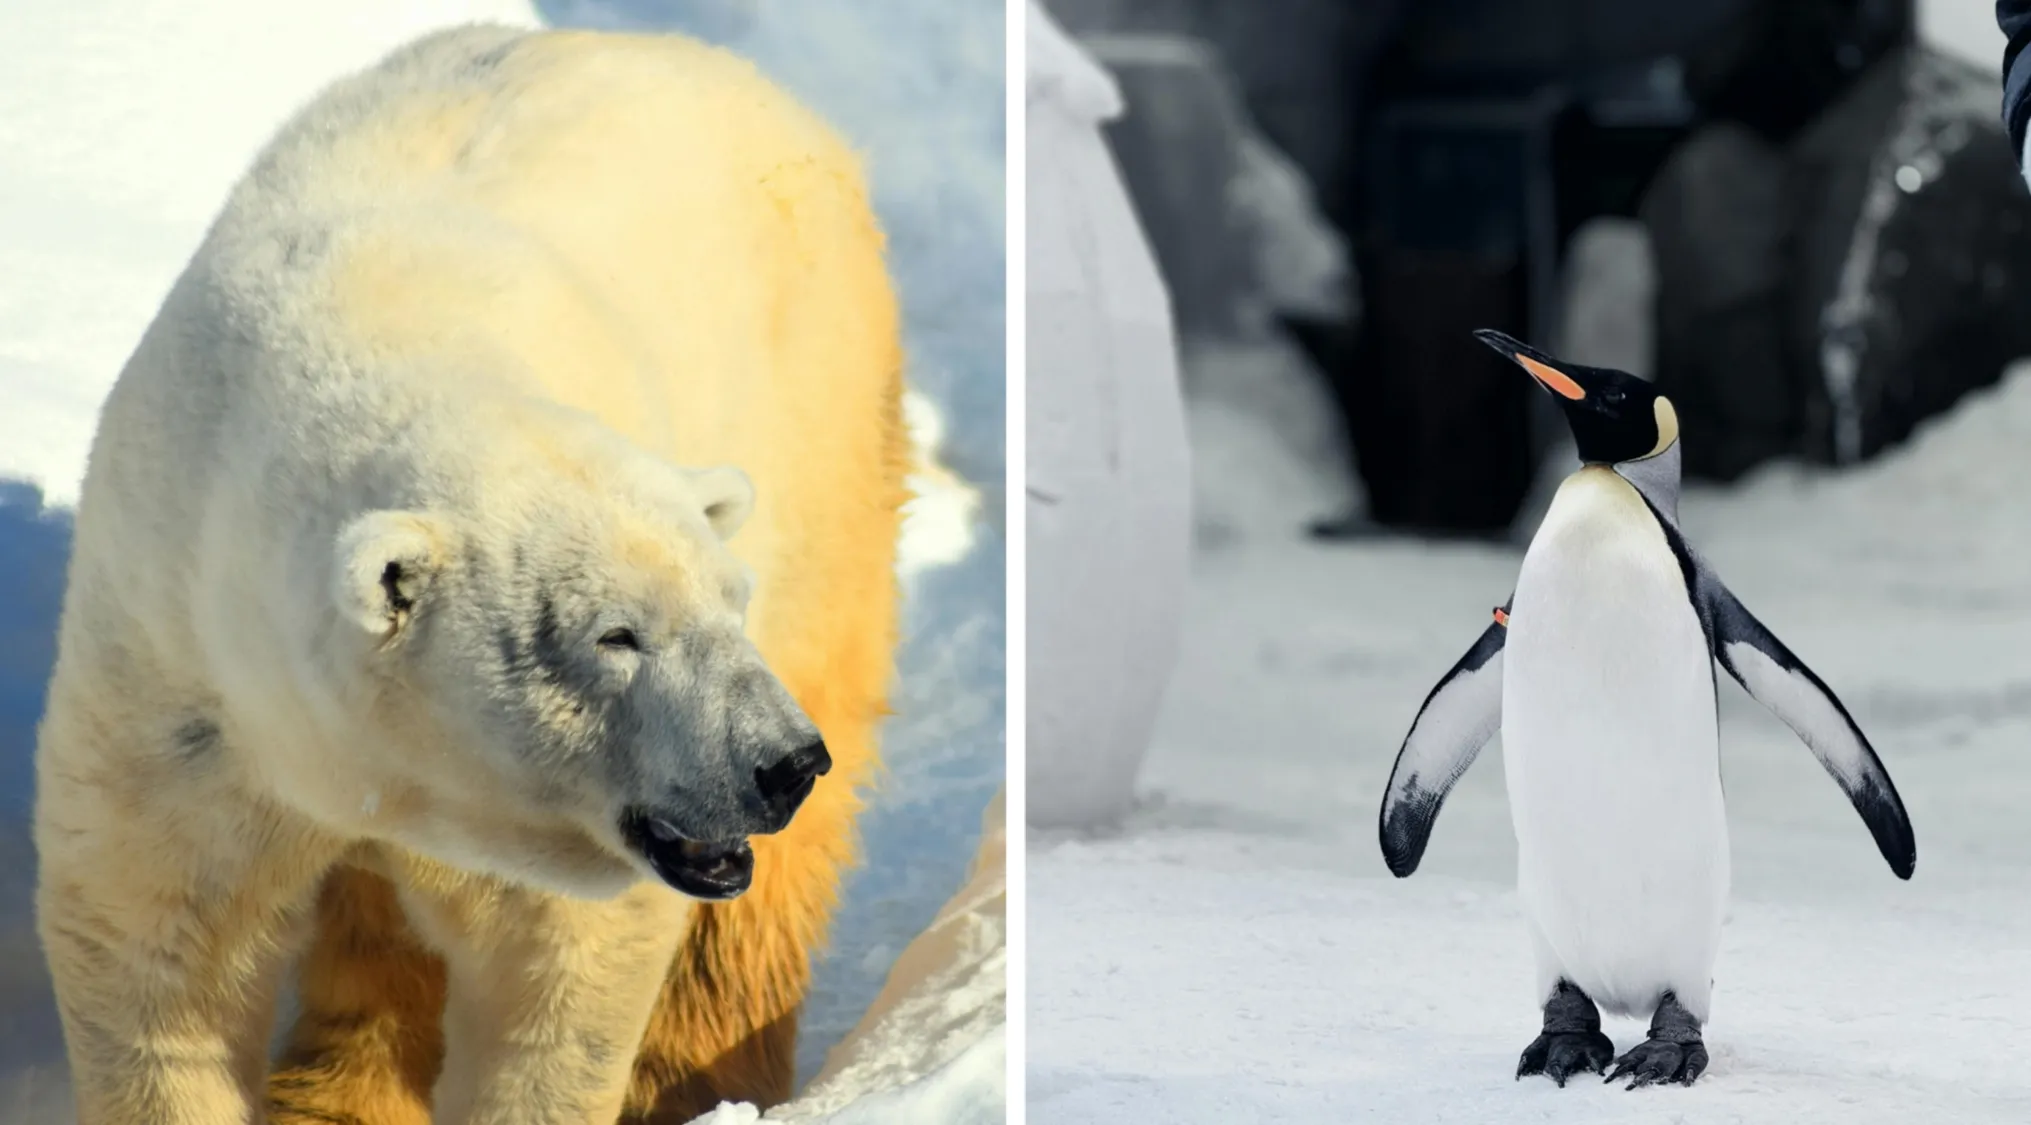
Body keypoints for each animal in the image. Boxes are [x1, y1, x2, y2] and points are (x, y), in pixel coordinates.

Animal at [33, 23, 906, 1125]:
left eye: (728, 601)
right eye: (614, 634)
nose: (781, 761)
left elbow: (561, 975)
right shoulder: (176, 673)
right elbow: (155, 947)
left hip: (824, 438)